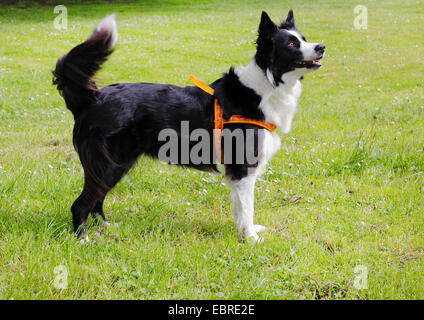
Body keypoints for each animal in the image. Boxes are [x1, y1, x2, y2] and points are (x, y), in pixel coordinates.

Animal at [53, 10, 324, 241]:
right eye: (291, 44)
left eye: (304, 39)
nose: (321, 47)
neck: (265, 84)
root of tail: (93, 98)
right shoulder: (244, 167)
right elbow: (247, 207)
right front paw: (251, 239)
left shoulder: (236, 172)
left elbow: (239, 207)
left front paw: (245, 231)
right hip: (109, 163)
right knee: (81, 203)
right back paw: (83, 239)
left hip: (115, 164)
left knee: (97, 199)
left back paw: (107, 227)